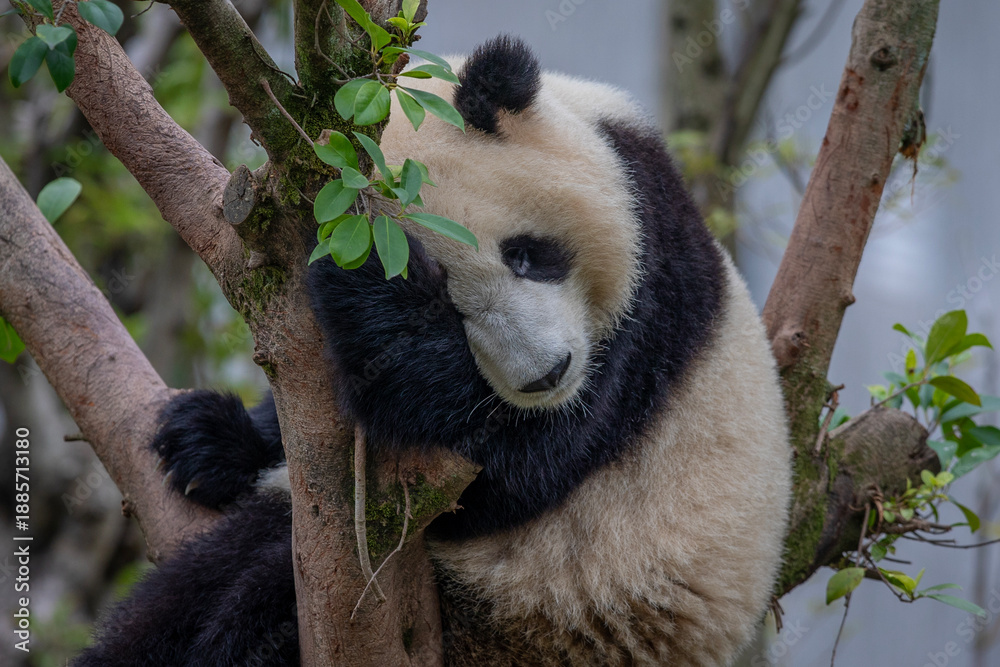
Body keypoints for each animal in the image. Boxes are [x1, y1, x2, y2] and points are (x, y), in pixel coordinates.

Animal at [73, 36, 791, 667]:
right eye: (449, 306)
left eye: (526, 254)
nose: (546, 376)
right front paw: (206, 440)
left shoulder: (652, 310)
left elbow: (504, 466)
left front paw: (353, 257)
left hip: (520, 613)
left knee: (258, 586)